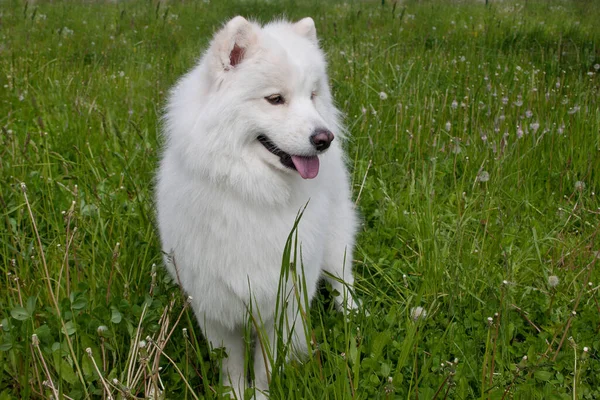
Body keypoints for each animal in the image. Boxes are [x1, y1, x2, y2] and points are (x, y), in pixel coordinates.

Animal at [157, 14, 358, 396]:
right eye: (275, 99)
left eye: (312, 95)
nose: (324, 138)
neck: (254, 192)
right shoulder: (215, 307)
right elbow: (233, 366)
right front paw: (236, 393)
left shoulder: (283, 302)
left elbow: (266, 367)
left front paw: (262, 394)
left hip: (335, 241)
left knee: (343, 277)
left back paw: (354, 313)